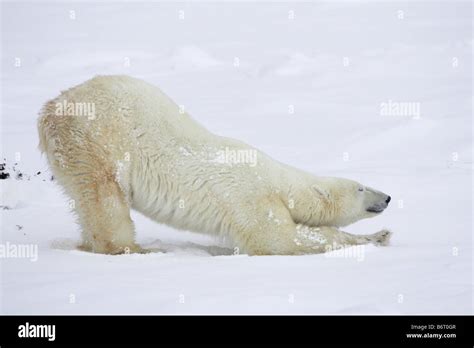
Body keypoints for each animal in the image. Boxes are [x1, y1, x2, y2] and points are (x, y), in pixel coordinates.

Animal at [38, 75, 392, 256]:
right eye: (361, 187)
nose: (388, 197)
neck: (279, 182)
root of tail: (50, 108)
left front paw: (380, 235)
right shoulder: (251, 199)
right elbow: (278, 240)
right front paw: (373, 238)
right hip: (95, 140)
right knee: (105, 198)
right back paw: (132, 249)